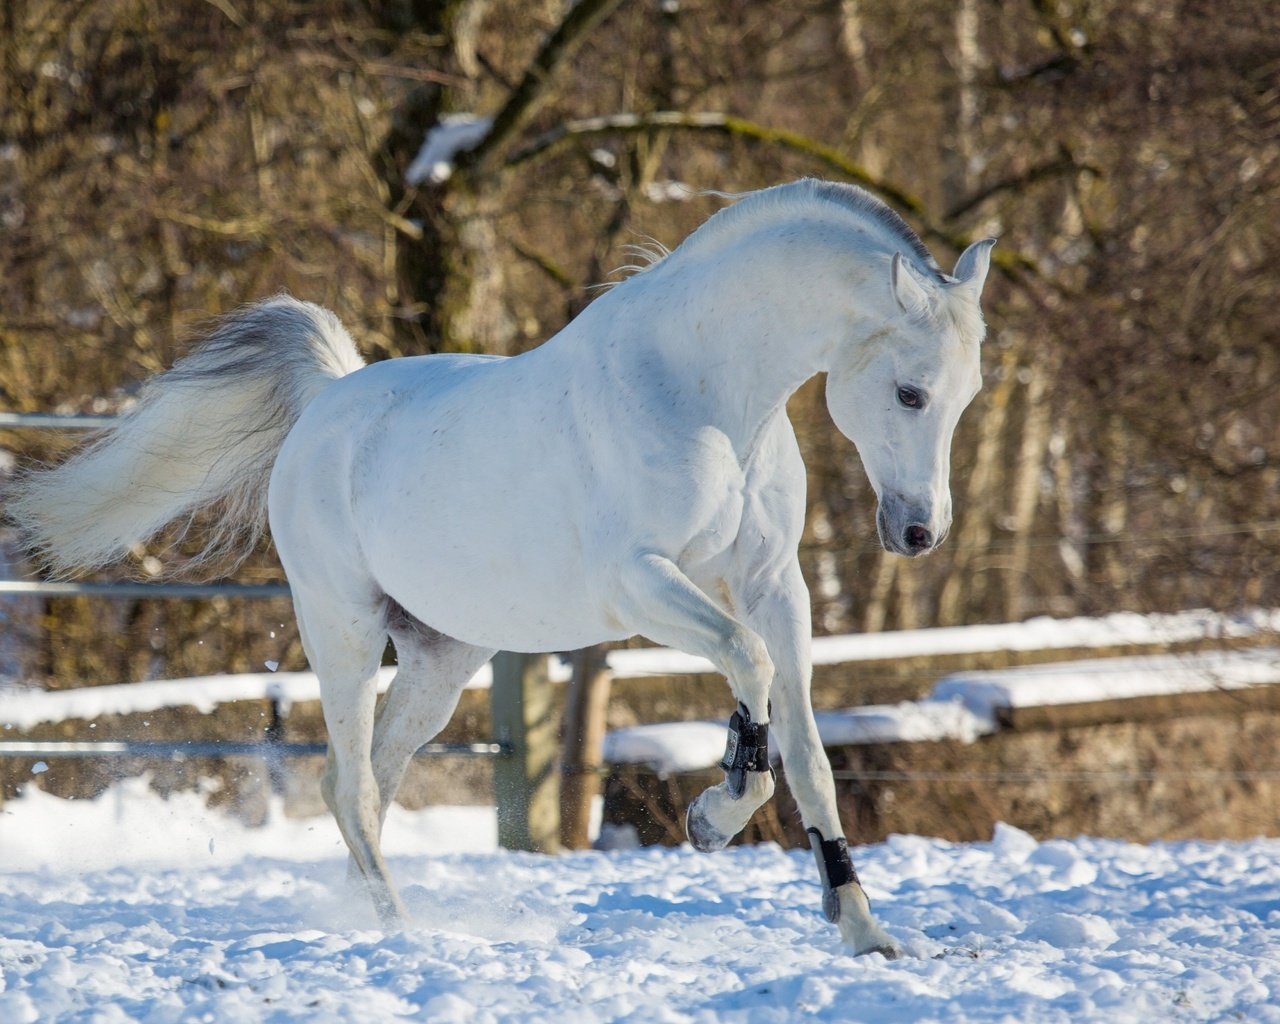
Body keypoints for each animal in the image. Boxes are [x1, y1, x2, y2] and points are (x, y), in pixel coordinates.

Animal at [5, 176, 993, 952]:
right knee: (351, 782)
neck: (704, 395)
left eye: (968, 393)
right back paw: (402, 932)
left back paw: (382, 917)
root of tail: (328, 400)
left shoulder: (773, 589)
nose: (919, 532)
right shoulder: (641, 585)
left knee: (366, 784)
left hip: (440, 661)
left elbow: (810, 753)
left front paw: (863, 930)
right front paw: (710, 821)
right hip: (342, 631)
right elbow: (747, 672)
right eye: (910, 391)